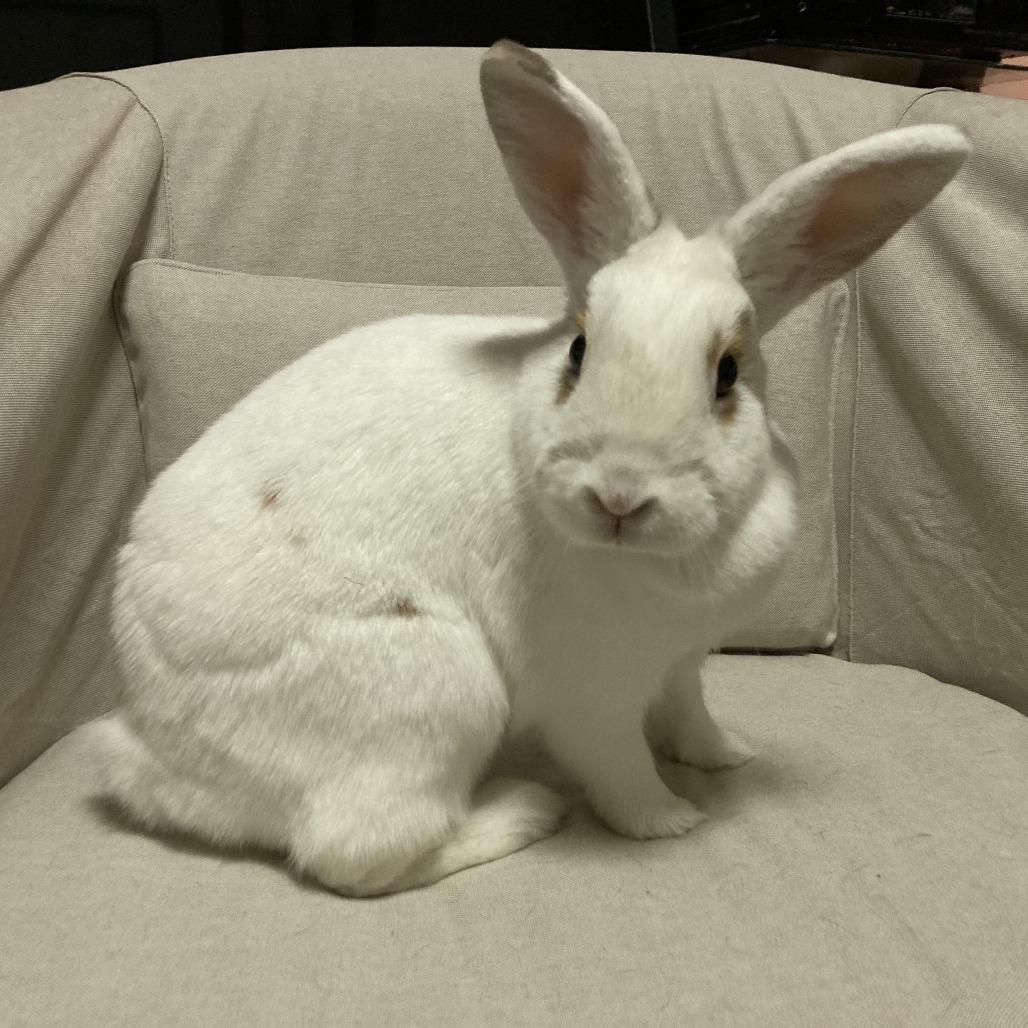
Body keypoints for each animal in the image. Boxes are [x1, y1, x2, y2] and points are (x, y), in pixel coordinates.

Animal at [92, 40, 970, 897]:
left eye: (727, 373)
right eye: (579, 351)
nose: (619, 497)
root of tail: (160, 767)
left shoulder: (681, 659)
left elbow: (689, 711)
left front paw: (727, 755)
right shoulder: (590, 688)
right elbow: (618, 765)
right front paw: (670, 821)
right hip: (434, 690)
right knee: (358, 853)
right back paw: (524, 810)